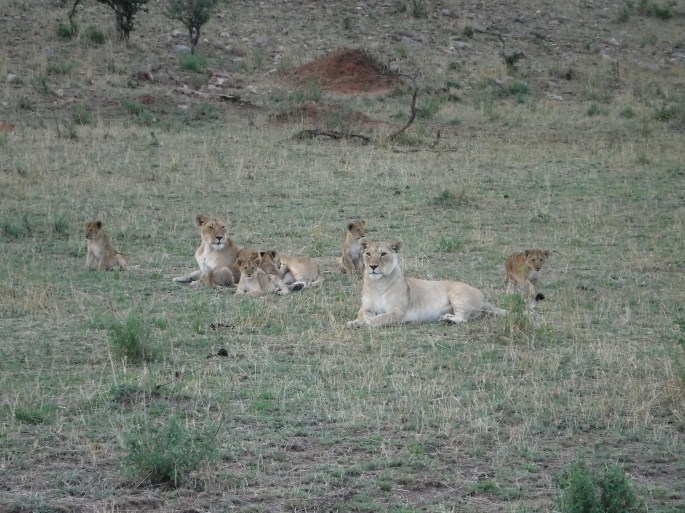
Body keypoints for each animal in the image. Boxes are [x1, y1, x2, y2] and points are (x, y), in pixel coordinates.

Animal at [346, 240, 505, 328]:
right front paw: (354, 322)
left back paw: (447, 319)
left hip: (459, 296)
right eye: (368, 253)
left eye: (383, 254)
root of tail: (481, 295)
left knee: (463, 318)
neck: (377, 283)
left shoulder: (397, 312)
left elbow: (376, 319)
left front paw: (363, 324)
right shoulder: (366, 307)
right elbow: (363, 315)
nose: (373, 266)